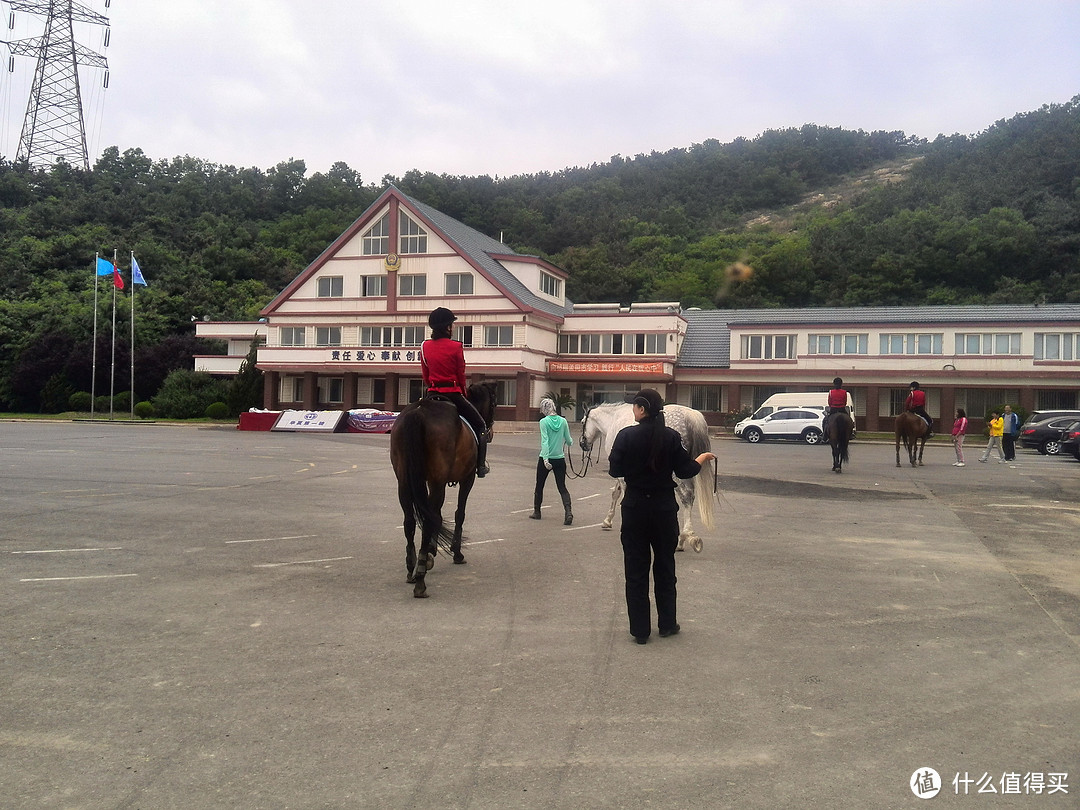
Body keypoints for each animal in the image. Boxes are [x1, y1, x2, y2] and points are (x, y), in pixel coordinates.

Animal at [388, 384, 496, 600]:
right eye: (494, 404)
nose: (490, 432)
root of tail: (419, 411)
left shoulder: (434, 482)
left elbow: (436, 513)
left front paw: (431, 549)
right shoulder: (466, 479)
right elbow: (459, 513)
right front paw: (455, 552)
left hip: (404, 482)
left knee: (410, 521)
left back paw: (412, 567)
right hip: (439, 480)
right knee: (428, 519)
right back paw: (420, 579)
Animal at [583, 403, 717, 552]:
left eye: (583, 422)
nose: (583, 444)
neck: (614, 418)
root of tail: (690, 416)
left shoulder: (621, 471)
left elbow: (621, 494)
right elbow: (616, 493)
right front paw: (607, 521)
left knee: (687, 496)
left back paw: (683, 538)